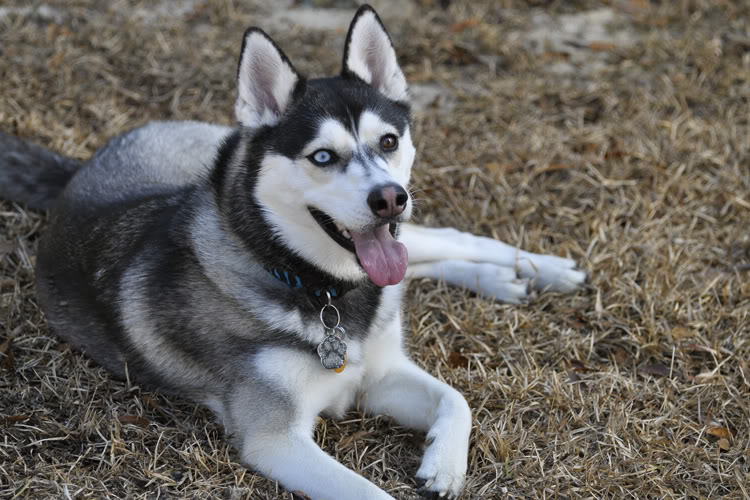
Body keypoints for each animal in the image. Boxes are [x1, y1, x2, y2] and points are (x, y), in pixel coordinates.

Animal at [0, 4, 588, 500]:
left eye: (389, 141)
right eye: (322, 156)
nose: (389, 198)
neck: (321, 289)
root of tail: (82, 170)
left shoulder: (378, 373)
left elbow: (457, 399)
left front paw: (443, 466)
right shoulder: (278, 438)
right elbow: (375, 489)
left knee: (442, 240)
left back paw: (542, 270)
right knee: (421, 261)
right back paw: (508, 280)